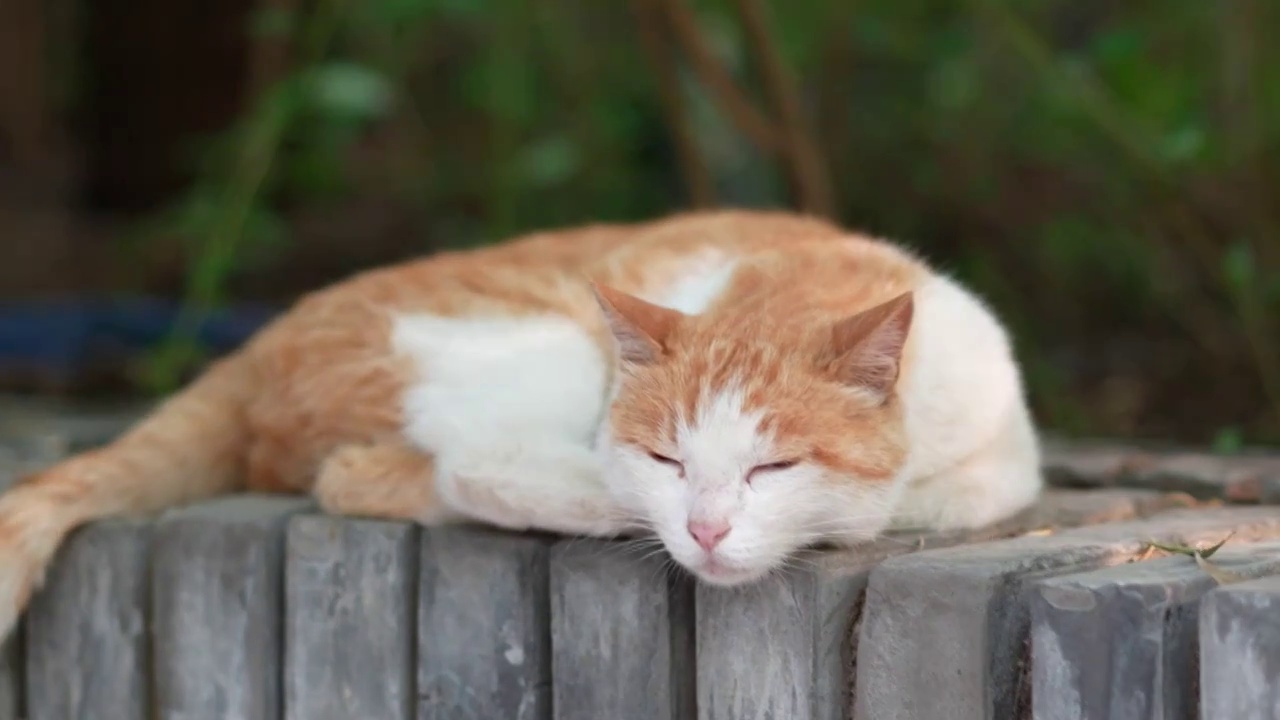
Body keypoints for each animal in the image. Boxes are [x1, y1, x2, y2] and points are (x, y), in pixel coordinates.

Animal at [0, 207, 1039, 632]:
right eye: (668, 459)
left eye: (772, 468)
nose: (703, 527)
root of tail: (261, 337)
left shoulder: (1001, 449)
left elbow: (944, 493)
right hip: (532, 348)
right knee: (406, 469)